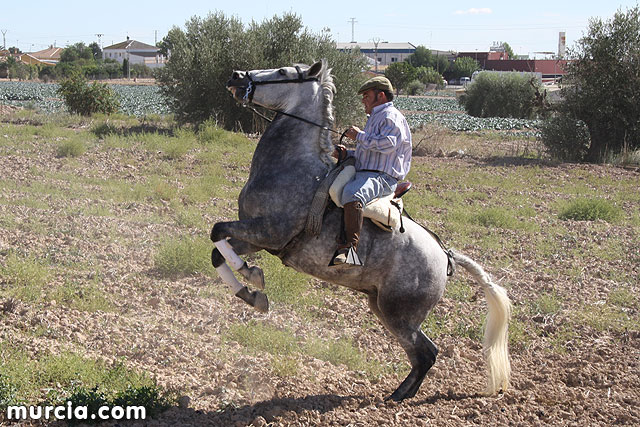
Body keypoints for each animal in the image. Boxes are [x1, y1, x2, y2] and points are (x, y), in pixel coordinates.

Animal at [212, 59, 512, 402]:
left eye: (284, 72)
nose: (236, 77)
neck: (291, 166)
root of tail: (445, 254)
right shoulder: (256, 239)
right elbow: (217, 248)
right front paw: (250, 292)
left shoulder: (269, 231)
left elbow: (216, 231)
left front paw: (253, 279)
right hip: (382, 307)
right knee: (422, 353)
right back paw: (400, 394)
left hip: (399, 314)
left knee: (428, 353)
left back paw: (396, 399)